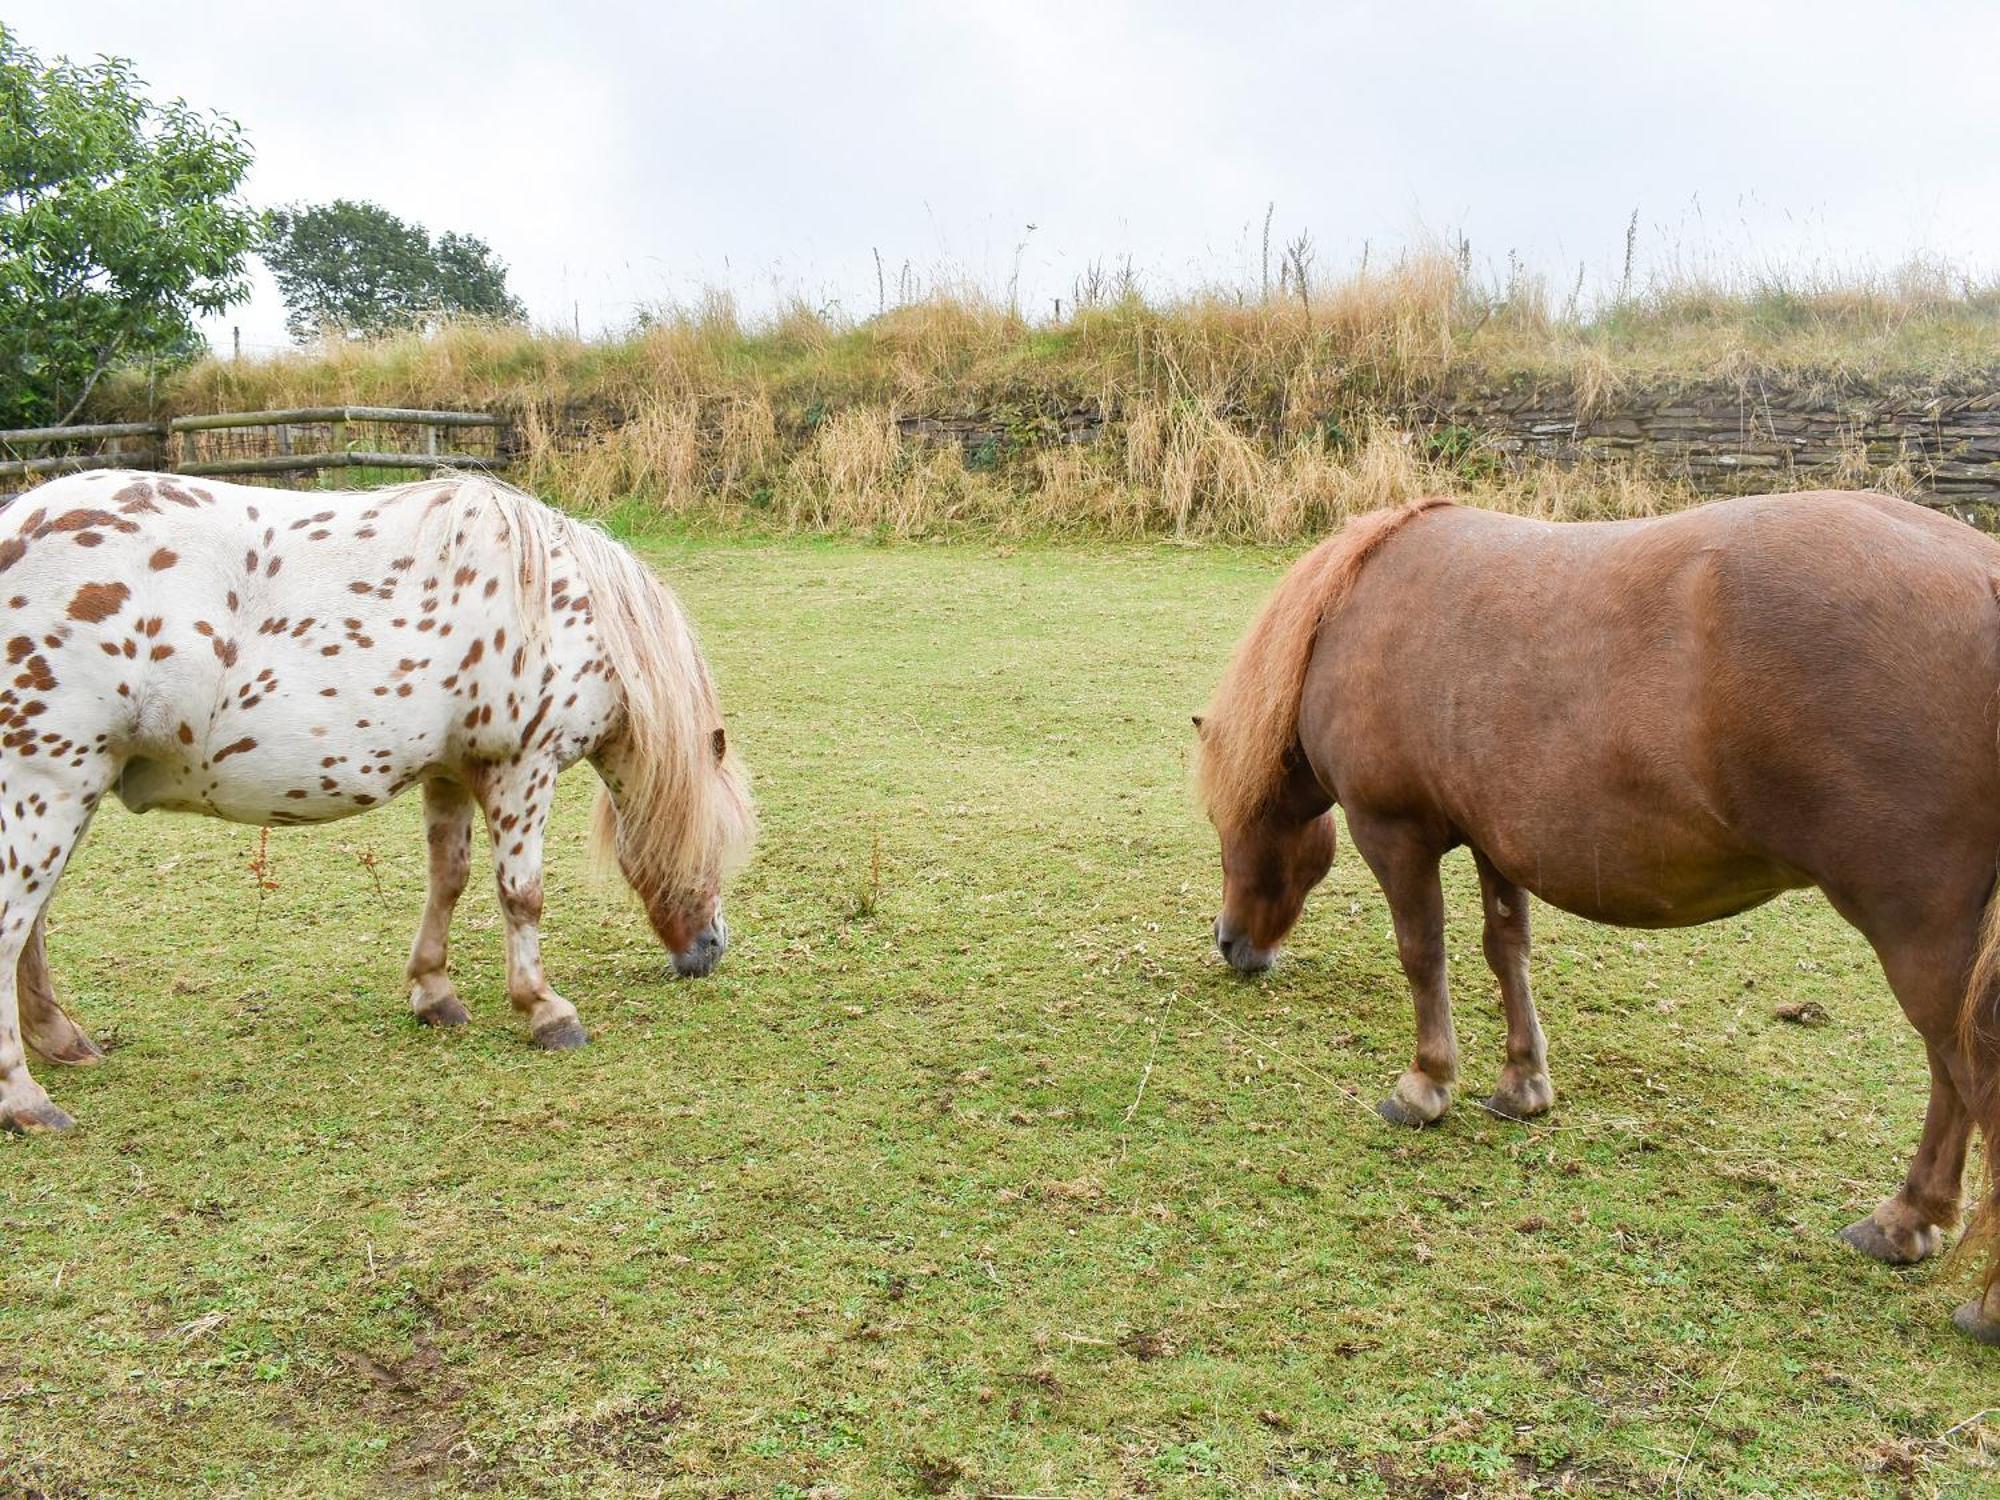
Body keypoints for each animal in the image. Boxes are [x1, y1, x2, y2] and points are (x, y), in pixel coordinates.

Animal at [0, 470, 756, 1128]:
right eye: (715, 844)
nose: (709, 952)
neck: (561, 605)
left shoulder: (452, 772)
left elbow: (448, 879)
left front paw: (435, 994)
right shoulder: (522, 768)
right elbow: (522, 897)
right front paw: (544, 1010)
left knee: (32, 925)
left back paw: (62, 1041)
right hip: (47, 789)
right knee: (13, 926)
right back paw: (25, 1100)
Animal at [1192, 494, 2000, 1352]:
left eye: (1223, 817)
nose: (1231, 943)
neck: (1355, 608)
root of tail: (1982, 576)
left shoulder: (1395, 832)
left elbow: (1423, 954)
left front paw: (1425, 1086)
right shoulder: (1493, 839)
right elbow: (1505, 950)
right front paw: (1521, 1084)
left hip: (1919, 937)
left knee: (1967, 1070)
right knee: (1951, 1075)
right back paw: (1907, 1221)